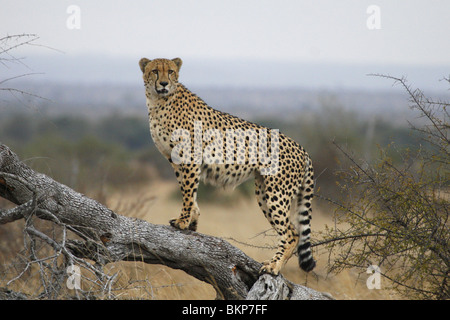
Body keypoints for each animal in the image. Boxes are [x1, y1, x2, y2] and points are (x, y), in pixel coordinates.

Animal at [139, 57, 314, 276]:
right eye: (155, 71)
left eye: (170, 71)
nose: (163, 84)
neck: (159, 101)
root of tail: (301, 148)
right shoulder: (177, 161)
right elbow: (189, 192)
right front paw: (192, 219)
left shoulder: (190, 157)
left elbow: (187, 192)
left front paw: (183, 221)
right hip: (263, 191)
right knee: (292, 230)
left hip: (277, 192)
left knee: (292, 233)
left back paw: (273, 266)